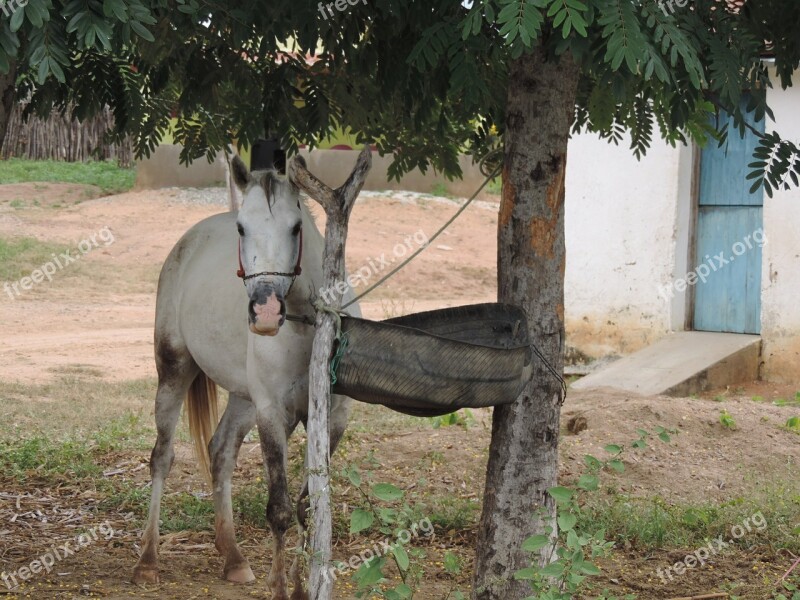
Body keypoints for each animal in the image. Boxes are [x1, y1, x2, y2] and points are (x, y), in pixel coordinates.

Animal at [133, 156, 358, 600]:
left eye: (296, 226)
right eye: (242, 227)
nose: (265, 312)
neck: (308, 327)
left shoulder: (331, 419)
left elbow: (308, 505)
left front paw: (302, 586)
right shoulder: (272, 413)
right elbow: (280, 509)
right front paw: (281, 587)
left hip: (243, 399)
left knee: (220, 453)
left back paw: (233, 557)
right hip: (174, 371)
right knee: (162, 457)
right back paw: (148, 560)